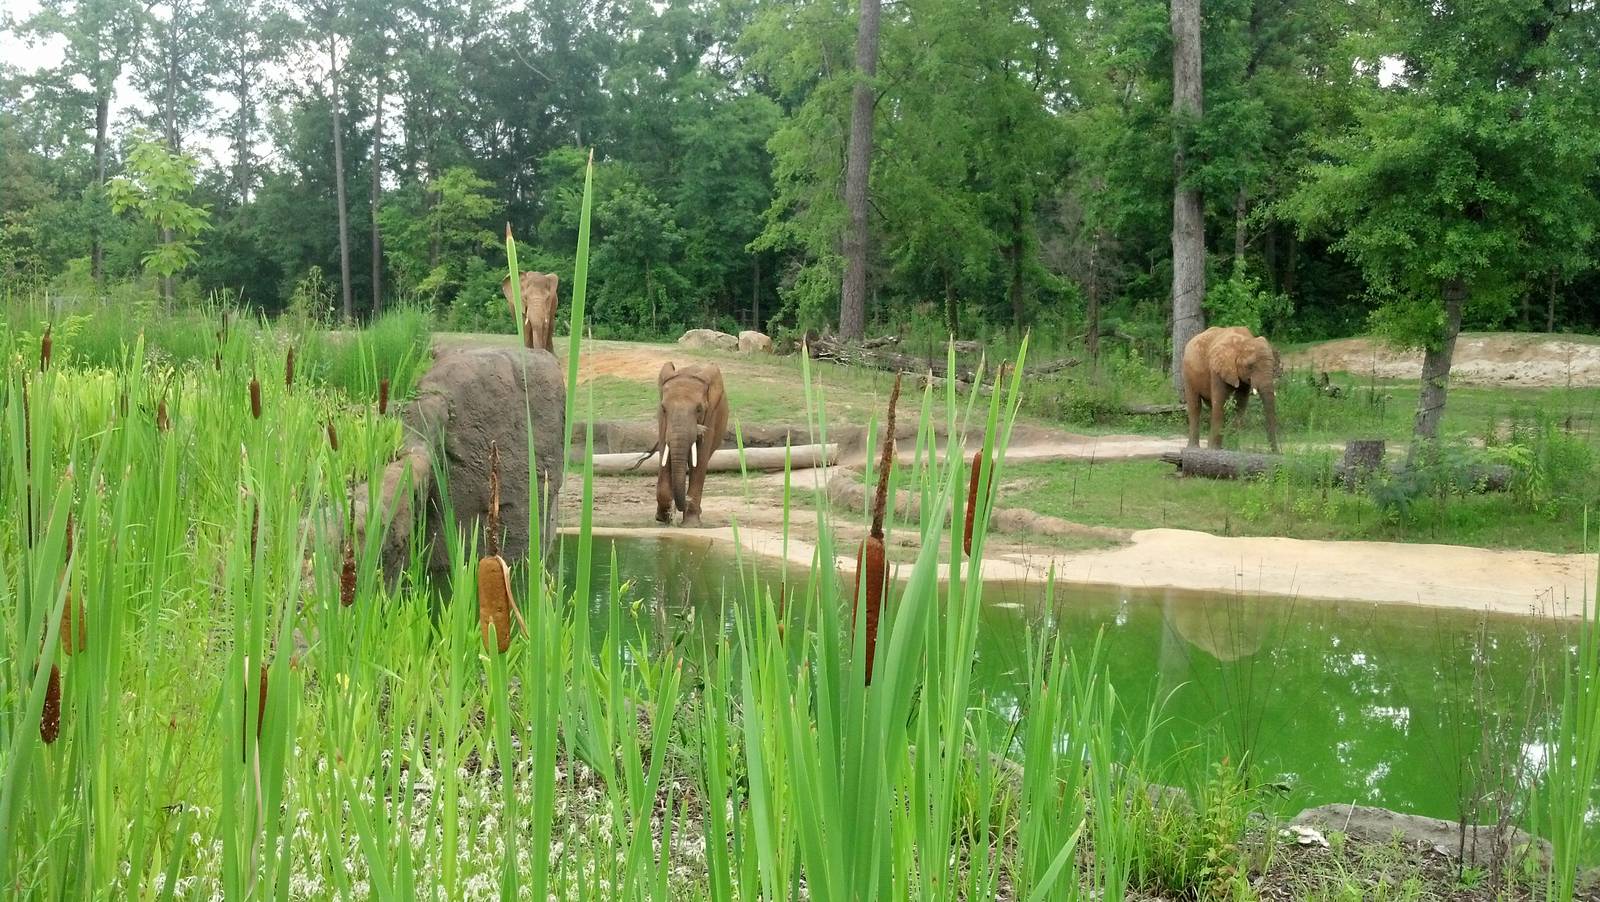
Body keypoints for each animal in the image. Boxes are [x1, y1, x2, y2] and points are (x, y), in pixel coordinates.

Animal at [653, 362, 729, 528]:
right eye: (664, 408)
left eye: (699, 409)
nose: (685, 502)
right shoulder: (663, 422)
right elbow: (665, 457)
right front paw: (663, 518)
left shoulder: (710, 416)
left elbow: (700, 460)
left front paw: (691, 524)